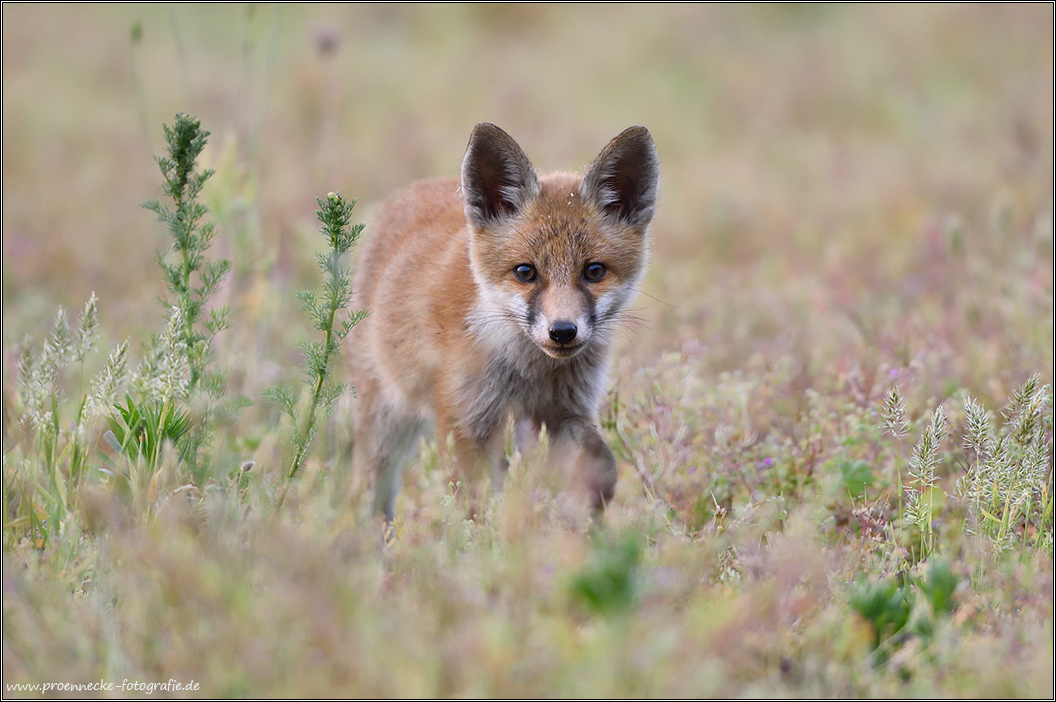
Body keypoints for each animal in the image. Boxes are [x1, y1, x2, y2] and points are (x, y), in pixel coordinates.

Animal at [350, 122, 654, 523]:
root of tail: (416, 188)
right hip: (386, 417)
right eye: (525, 272)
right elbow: (475, 504)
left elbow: (602, 465)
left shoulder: (565, 413)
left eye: (594, 271)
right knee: (370, 487)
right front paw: (485, 538)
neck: (530, 373)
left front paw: (578, 514)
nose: (562, 331)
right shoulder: (466, 420)